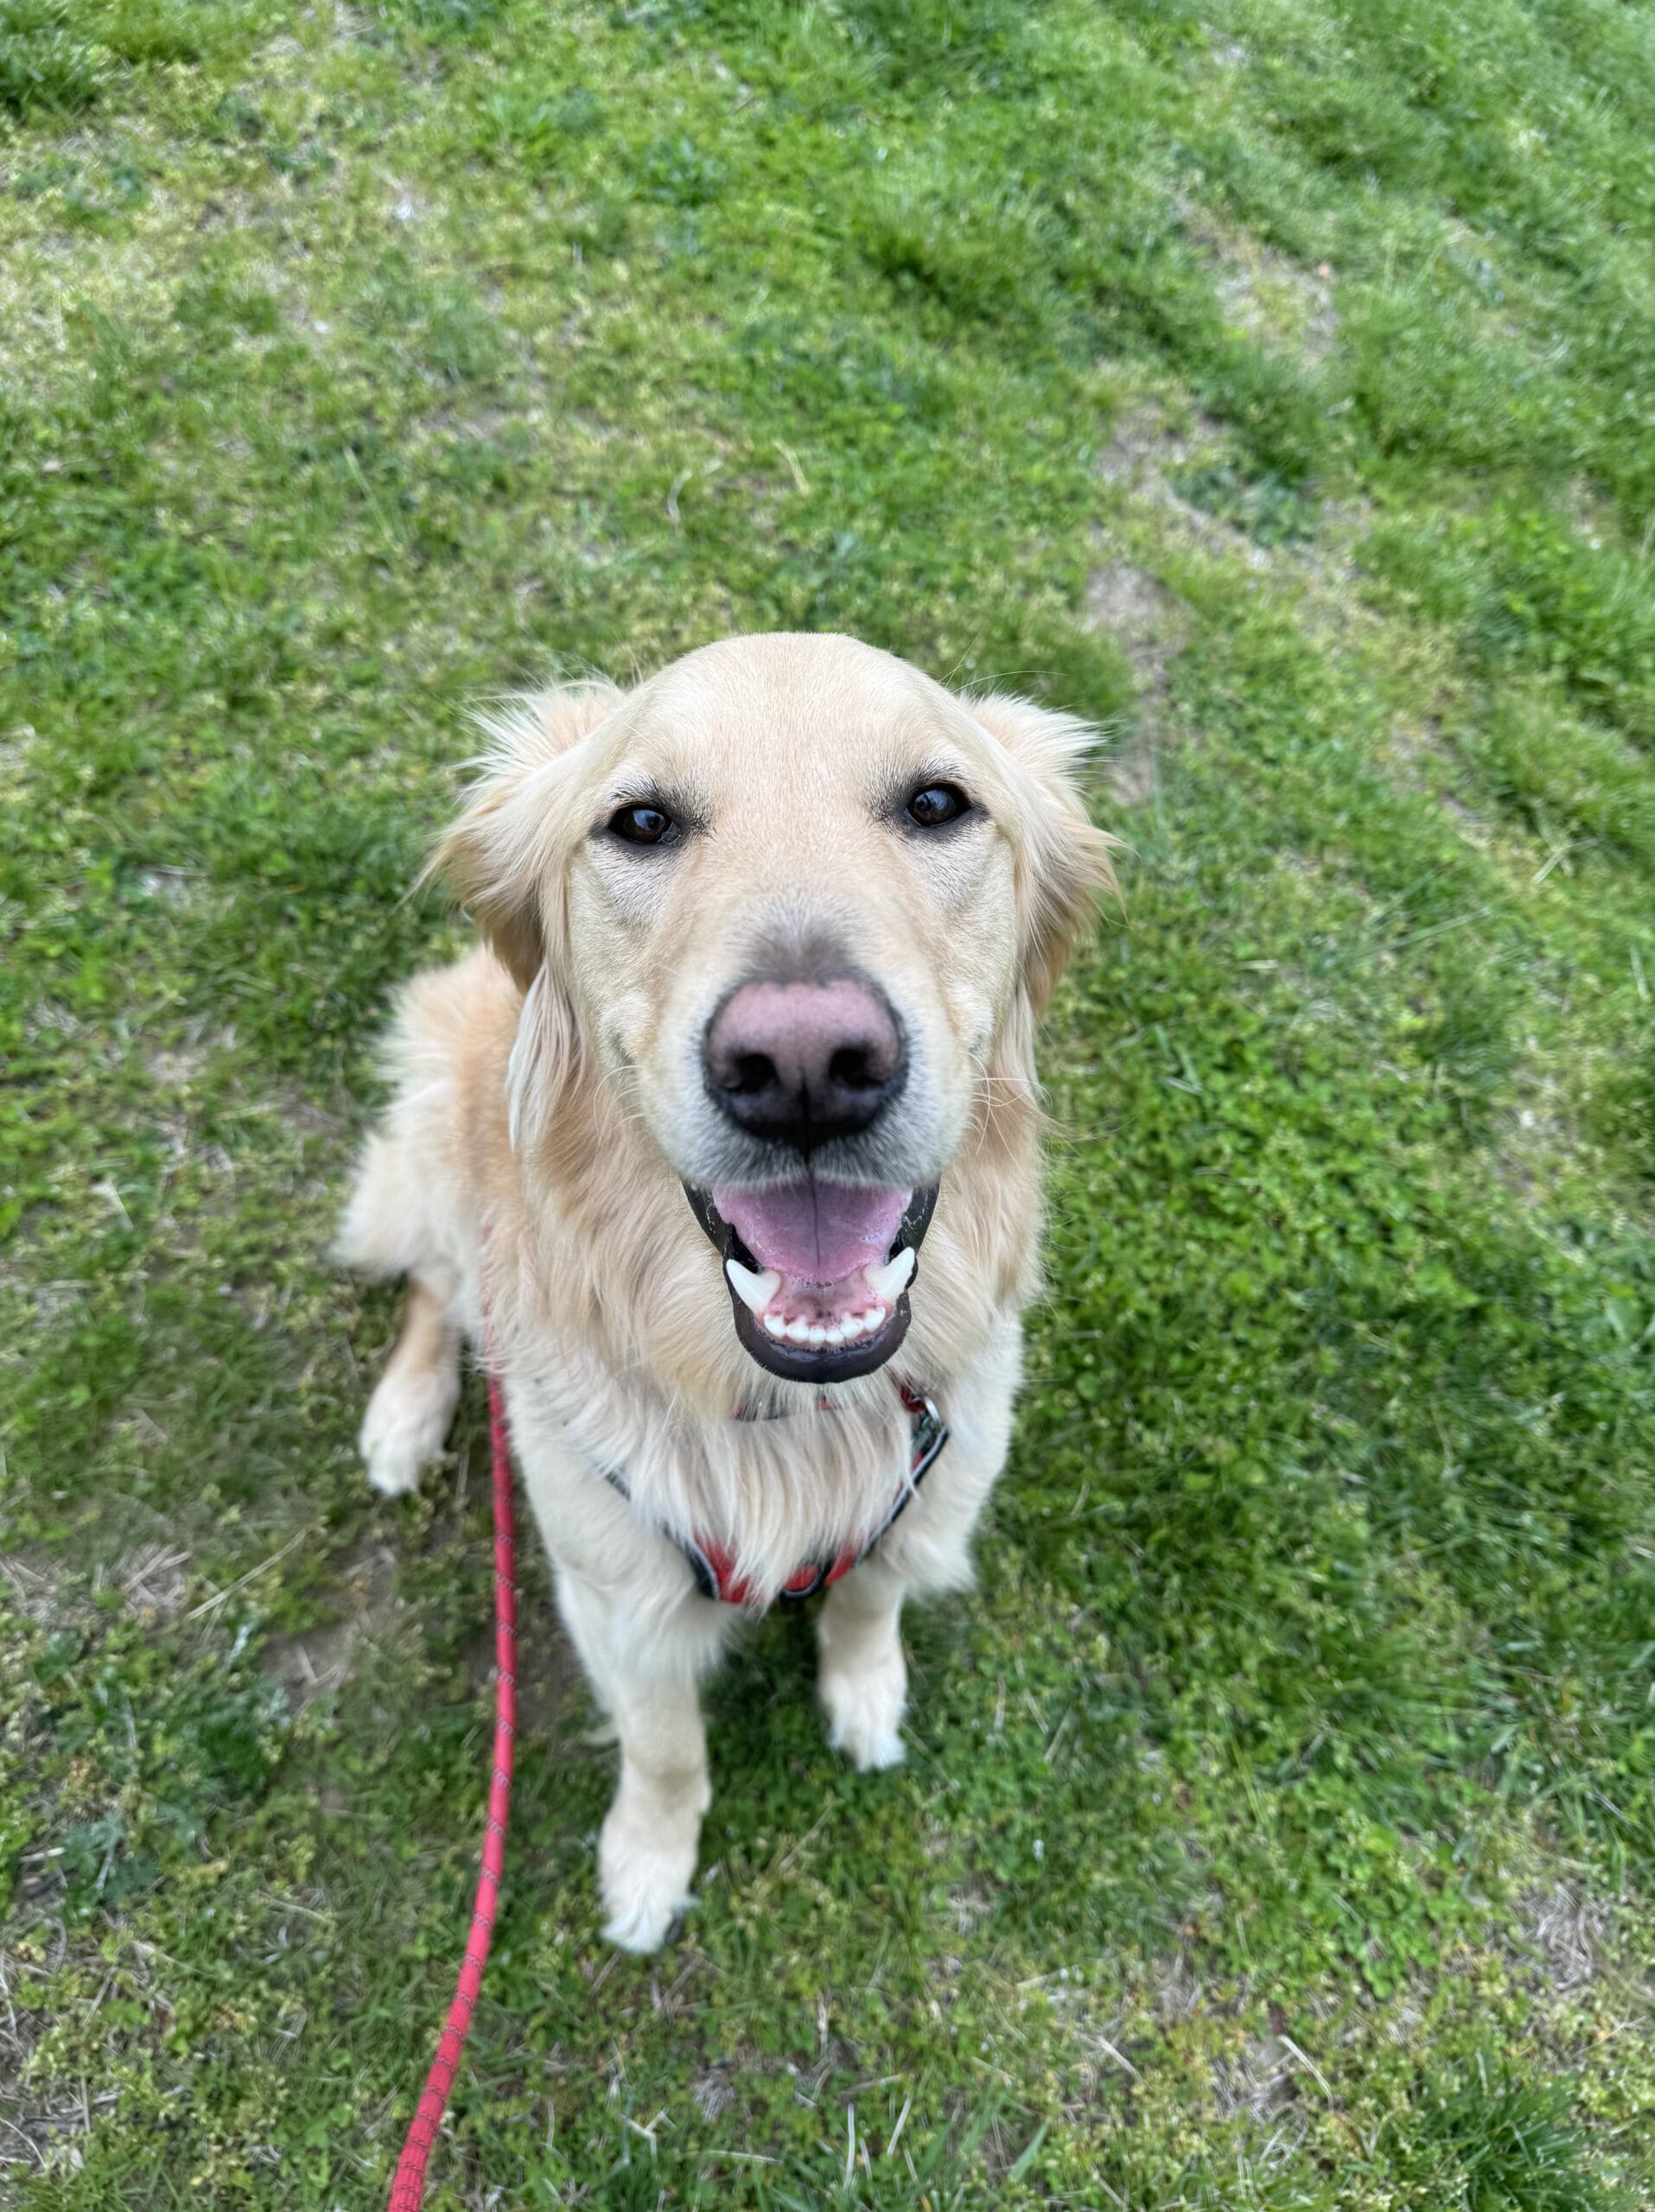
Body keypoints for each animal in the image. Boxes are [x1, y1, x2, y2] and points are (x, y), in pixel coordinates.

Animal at [336, 632, 1111, 1946]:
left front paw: (865, 1691)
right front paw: (648, 1860)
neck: (794, 1419)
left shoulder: (934, 1488)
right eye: (641, 821)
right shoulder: (615, 1597)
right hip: (438, 1115)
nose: (804, 1065)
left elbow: (866, 1604)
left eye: (937, 804)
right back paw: (403, 1416)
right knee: (439, 1281)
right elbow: (663, 1749)